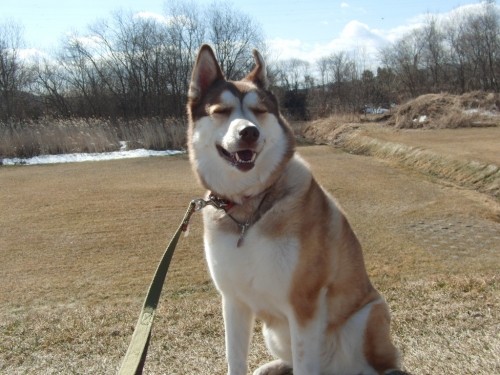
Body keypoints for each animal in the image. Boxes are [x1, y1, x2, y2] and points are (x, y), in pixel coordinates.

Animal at [186, 46, 400, 375]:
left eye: (259, 110)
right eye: (221, 111)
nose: (249, 132)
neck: (250, 204)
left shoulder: (304, 304)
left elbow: (303, 362)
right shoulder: (233, 301)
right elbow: (235, 359)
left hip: (368, 316)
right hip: (272, 332)